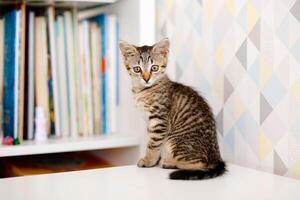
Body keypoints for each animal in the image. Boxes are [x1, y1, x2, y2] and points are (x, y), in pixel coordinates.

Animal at [119, 38, 225, 180]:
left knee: (201, 164)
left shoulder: (159, 120)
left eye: (154, 68)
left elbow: (153, 144)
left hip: (174, 140)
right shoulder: (150, 122)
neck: (143, 90)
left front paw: (148, 160)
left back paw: (169, 162)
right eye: (137, 69)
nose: (146, 79)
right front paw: (154, 160)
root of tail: (216, 157)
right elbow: (154, 142)